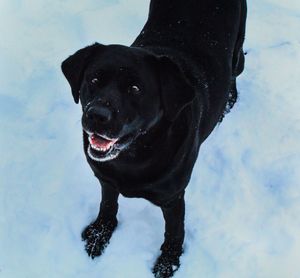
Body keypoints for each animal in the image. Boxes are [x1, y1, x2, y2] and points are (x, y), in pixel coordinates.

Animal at [61, 1, 246, 276]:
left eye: (135, 89)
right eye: (93, 80)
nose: (96, 115)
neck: (133, 157)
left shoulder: (173, 197)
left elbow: (174, 231)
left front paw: (169, 261)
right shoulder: (106, 179)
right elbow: (108, 204)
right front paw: (99, 234)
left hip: (237, 49)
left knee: (236, 68)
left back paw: (229, 102)